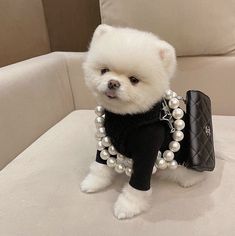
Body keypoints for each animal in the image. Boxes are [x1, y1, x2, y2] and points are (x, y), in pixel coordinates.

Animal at [80, 24, 205, 219]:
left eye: (134, 80)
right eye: (104, 70)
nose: (113, 83)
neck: (124, 118)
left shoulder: (147, 149)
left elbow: (138, 184)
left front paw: (127, 206)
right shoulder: (105, 138)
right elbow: (100, 164)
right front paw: (94, 182)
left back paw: (190, 180)